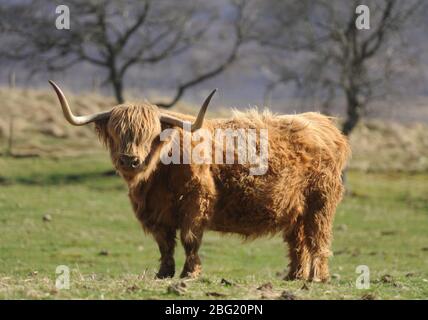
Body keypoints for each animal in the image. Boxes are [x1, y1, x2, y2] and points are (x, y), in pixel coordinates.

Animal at [50, 81, 352, 282]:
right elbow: (164, 243)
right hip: (295, 208)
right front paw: (164, 273)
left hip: (320, 203)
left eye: (150, 134)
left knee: (319, 238)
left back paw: (317, 277)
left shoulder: (196, 201)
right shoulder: (154, 212)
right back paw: (294, 276)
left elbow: (189, 238)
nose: (129, 160)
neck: (159, 172)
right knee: (298, 241)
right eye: (116, 132)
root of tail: (323, 123)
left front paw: (189, 273)